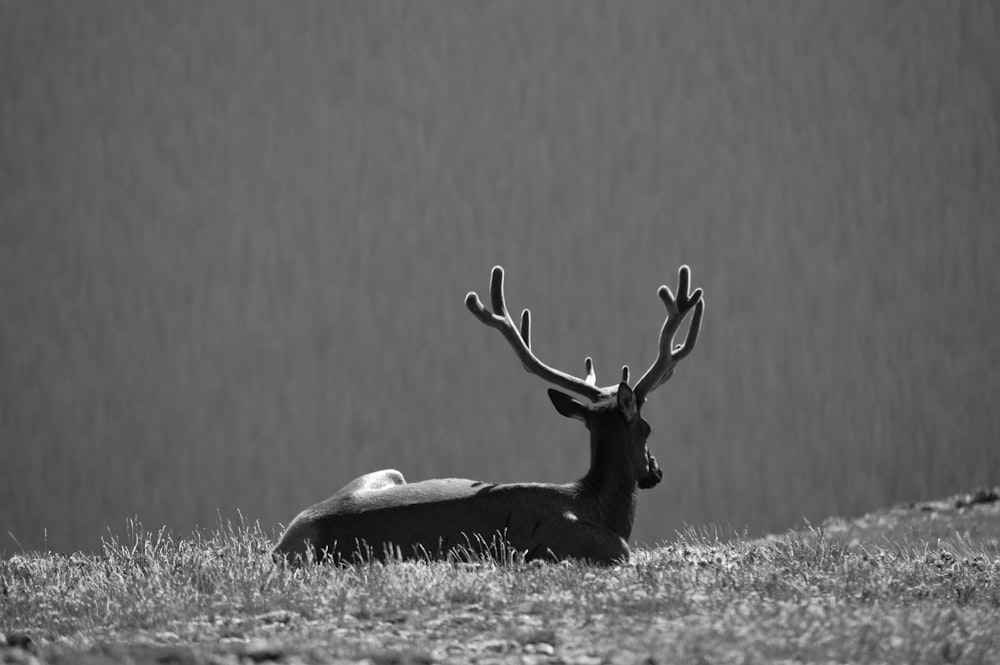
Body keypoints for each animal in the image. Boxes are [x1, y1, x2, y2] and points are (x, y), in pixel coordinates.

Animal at [274, 264, 704, 564]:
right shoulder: (606, 548)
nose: (656, 472)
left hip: (386, 472)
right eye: (647, 427)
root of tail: (282, 545)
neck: (593, 505)